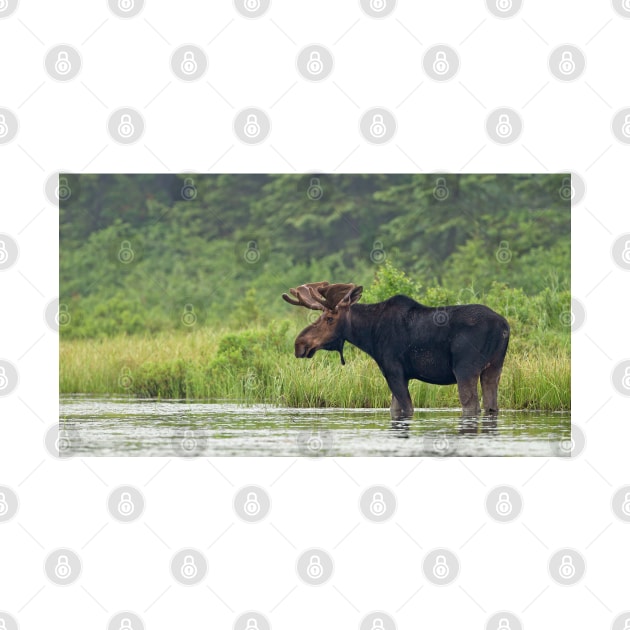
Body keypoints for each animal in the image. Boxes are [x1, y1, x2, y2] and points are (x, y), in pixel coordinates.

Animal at [284, 284, 512, 422]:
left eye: (329, 319)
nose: (299, 344)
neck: (369, 335)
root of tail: (504, 327)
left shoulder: (393, 371)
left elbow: (406, 409)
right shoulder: (399, 375)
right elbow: (394, 409)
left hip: (465, 369)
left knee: (471, 405)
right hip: (494, 368)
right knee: (491, 405)